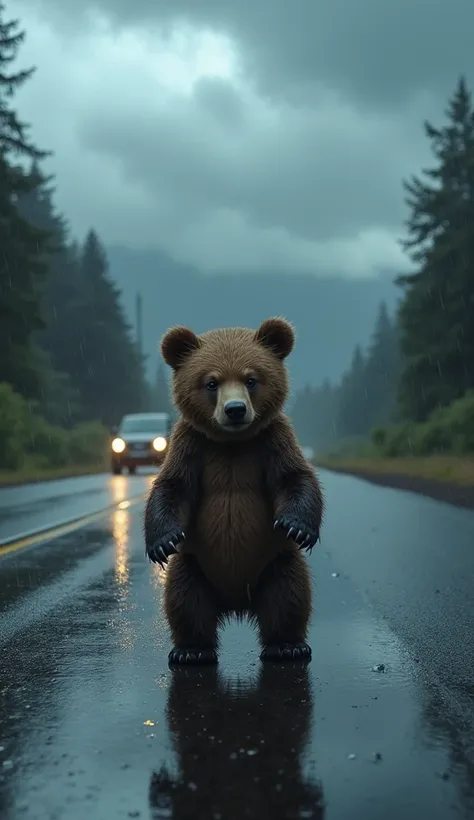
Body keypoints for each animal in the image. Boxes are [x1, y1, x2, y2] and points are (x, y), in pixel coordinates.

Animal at [143, 318, 324, 664]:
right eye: (211, 382)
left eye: (251, 379)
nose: (236, 409)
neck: (232, 444)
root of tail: (238, 603)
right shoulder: (192, 445)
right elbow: (173, 486)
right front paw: (162, 541)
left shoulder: (271, 440)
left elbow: (294, 476)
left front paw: (296, 526)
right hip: (194, 566)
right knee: (184, 601)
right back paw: (192, 650)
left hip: (276, 562)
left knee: (290, 595)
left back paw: (287, 646)